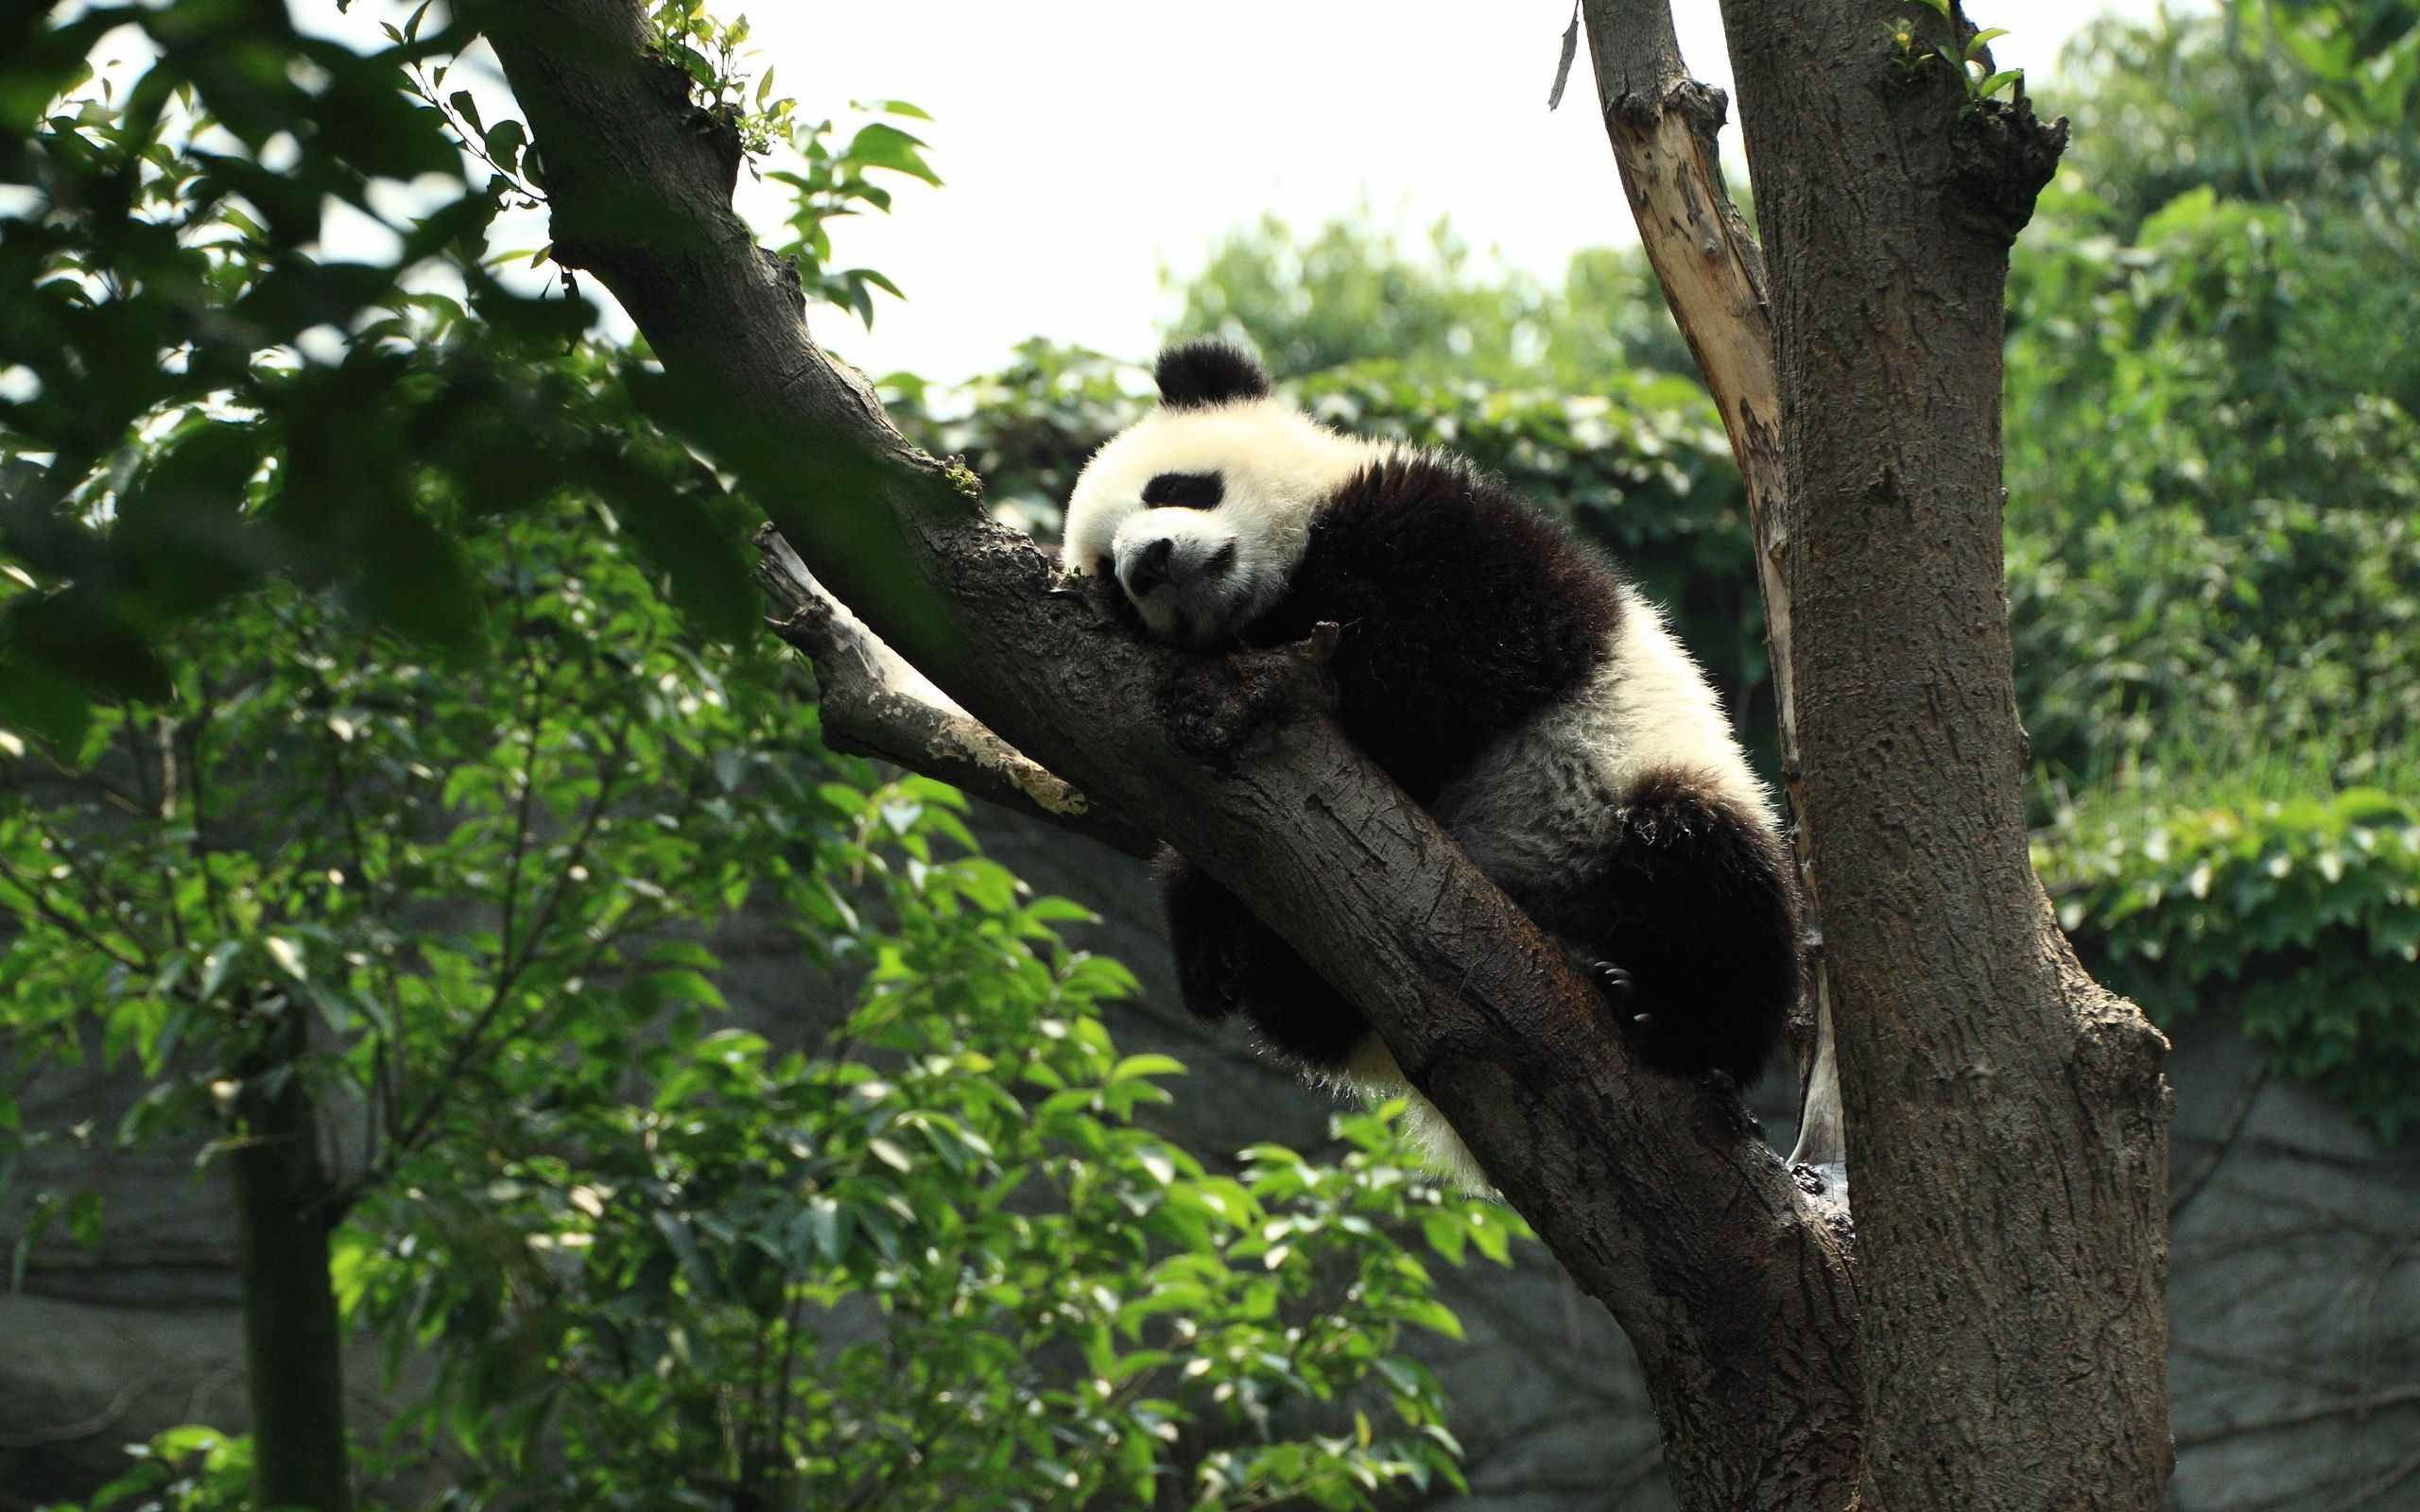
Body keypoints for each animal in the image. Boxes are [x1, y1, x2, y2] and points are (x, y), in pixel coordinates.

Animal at [1064, 338, 1800, 1180]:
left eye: (1174, 487)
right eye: (1108, 577)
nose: (1147, 563)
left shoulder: (1455, 529)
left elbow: (1448, 652)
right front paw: (1199, 919)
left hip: (1632, 793)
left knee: (1712, 878)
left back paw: (1662, 1016)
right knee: (1303, 1013)